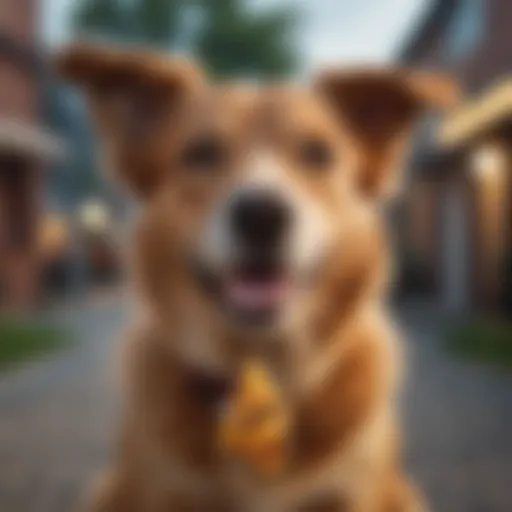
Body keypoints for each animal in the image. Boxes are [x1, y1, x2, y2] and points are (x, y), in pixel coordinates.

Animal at [58, 44, 458, 512]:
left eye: (318, 153)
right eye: (201, 153)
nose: (262, 215)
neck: (261, 376)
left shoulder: (354, 493)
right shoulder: (162, 490)